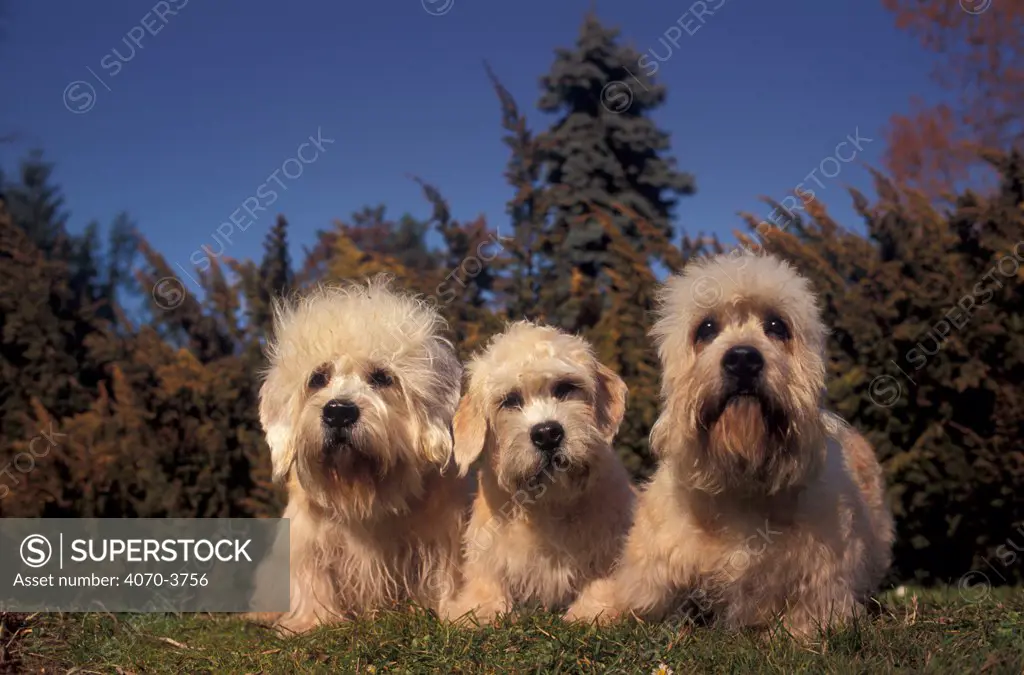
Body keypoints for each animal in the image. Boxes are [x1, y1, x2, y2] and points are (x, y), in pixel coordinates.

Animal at [249, 278, 473, 635]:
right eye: (317, 378)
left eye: (382, 377)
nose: (339, 412)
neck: (363, 490)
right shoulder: (309, 542)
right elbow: (313, 578)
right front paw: (311, 621)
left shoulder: (442, 539)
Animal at [444, 325, 634, 626]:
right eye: (510, 401)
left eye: (565, 388)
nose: (547, 434)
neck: (549, 505)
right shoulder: (489, 552)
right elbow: (486, 581)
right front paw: (481, 609)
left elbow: (604, 579)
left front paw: (593, 611)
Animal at [569, 250, 897, 635]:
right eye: (706, 329)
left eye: (777, 326)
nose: (743, 358)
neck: (739, 479)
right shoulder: (649, 572)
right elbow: (623, 595)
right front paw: (586, 611)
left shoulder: (823, 585)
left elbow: (809, 616)